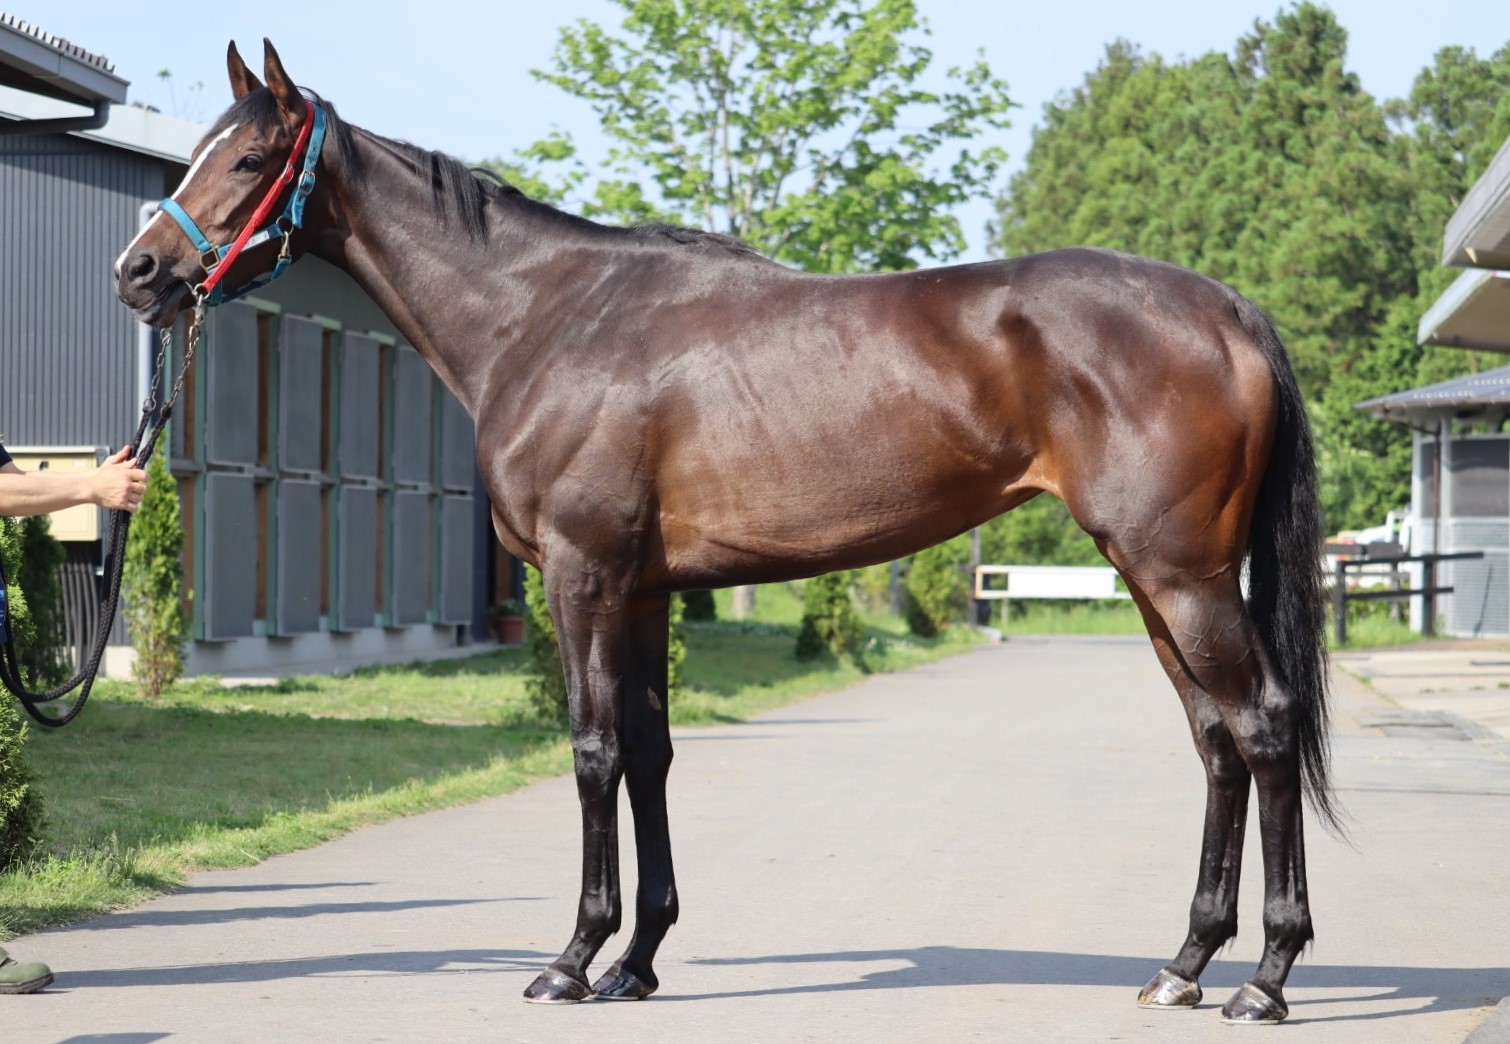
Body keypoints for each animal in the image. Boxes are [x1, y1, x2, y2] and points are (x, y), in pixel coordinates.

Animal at [114, 39, 1336, 1024]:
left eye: (245, 160)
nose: (139, 272)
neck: (545, 318)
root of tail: (1227, 307)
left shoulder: (582, 578)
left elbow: (593, 751)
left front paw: (571, 960)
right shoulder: (646, 589)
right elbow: (651, 753)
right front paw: (638, 961)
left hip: (1180, 577)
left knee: (1265, 729)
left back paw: (1266, 979)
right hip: (1155, 582)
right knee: (1217, 744)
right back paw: (1183, 965)